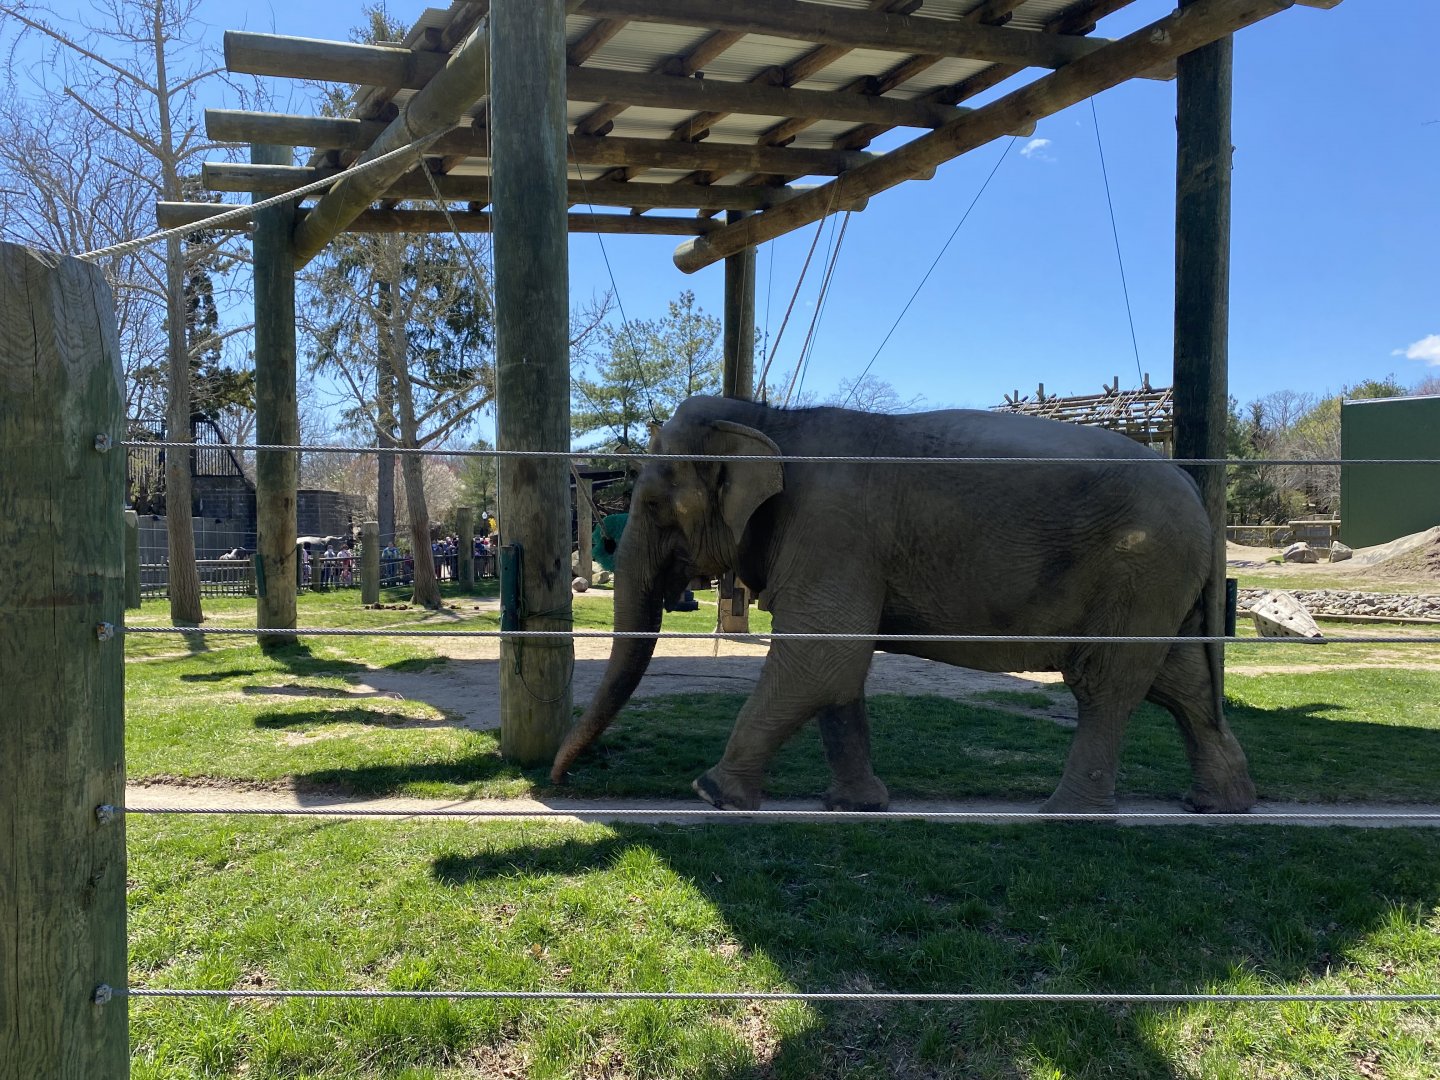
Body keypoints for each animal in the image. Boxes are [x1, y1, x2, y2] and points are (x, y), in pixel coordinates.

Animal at [550, 395, 1257, 815]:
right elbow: (836, 671)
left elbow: (821, 657)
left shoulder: (832, 530)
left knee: (1103, 681)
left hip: (1142, 568)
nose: (556, 782)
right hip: (1163, 583)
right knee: (1180, 681)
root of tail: (1197, 490)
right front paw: (857, 805)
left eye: (653, 505)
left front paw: (711, 792)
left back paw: (1066, 811)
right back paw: (1219, 805)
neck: (769, 415)